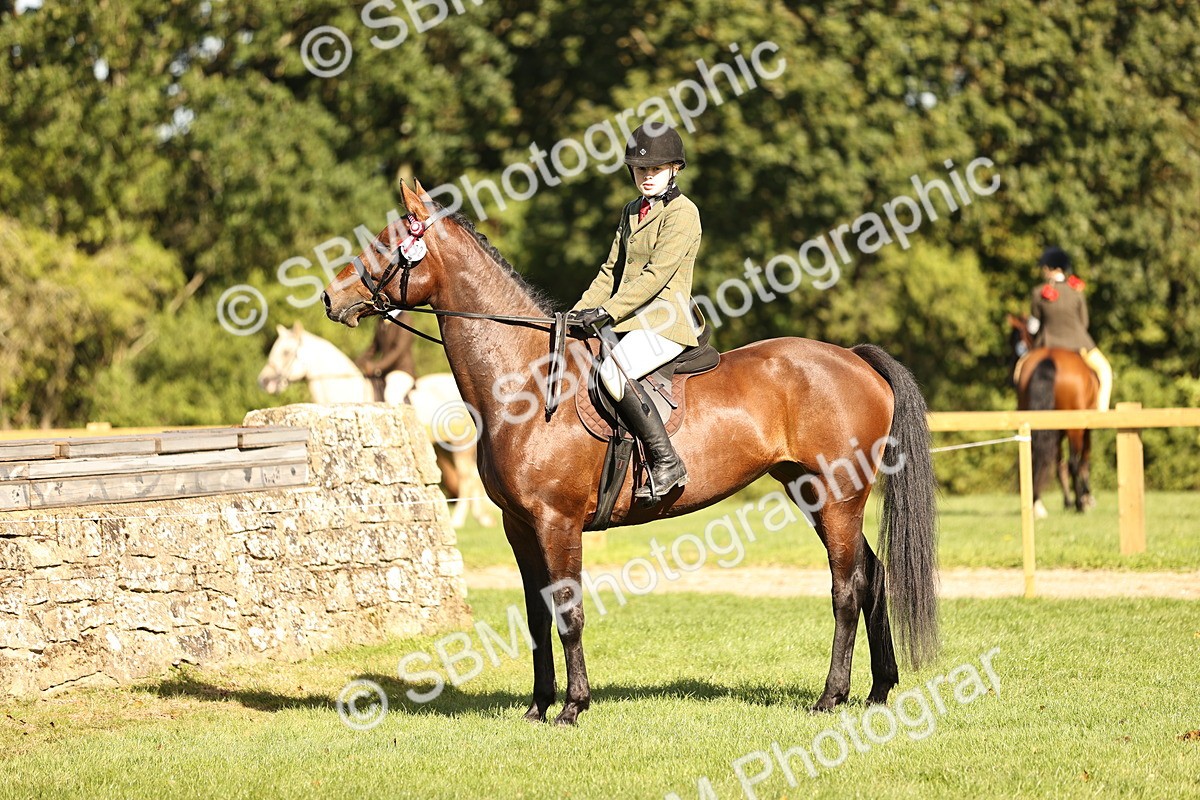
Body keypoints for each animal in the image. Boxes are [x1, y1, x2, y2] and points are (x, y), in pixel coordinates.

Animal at [321, 181, 939, 725]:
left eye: (388, 242)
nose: (331, 297)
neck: (523, 382)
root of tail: (854, 358)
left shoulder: (557, 522)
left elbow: (568, 612)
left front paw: (573, 707)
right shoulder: (519, 526)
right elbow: (536, 616)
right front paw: (538, 706)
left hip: (838, 495)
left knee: (847, 588)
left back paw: (831, 697)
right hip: (811, 491)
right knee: (873, 575)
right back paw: (879, 691)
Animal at [1006, 314, 1098, 517]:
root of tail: (1050, 358)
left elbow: (1057, 465)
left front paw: (1067, 502)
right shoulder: (1085, 427)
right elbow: (1083, 461)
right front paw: (1085, 498)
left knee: (1035, 457)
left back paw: (1036, 503)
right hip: (1075, 427)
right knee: (1074, 462)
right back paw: (1079, 504)